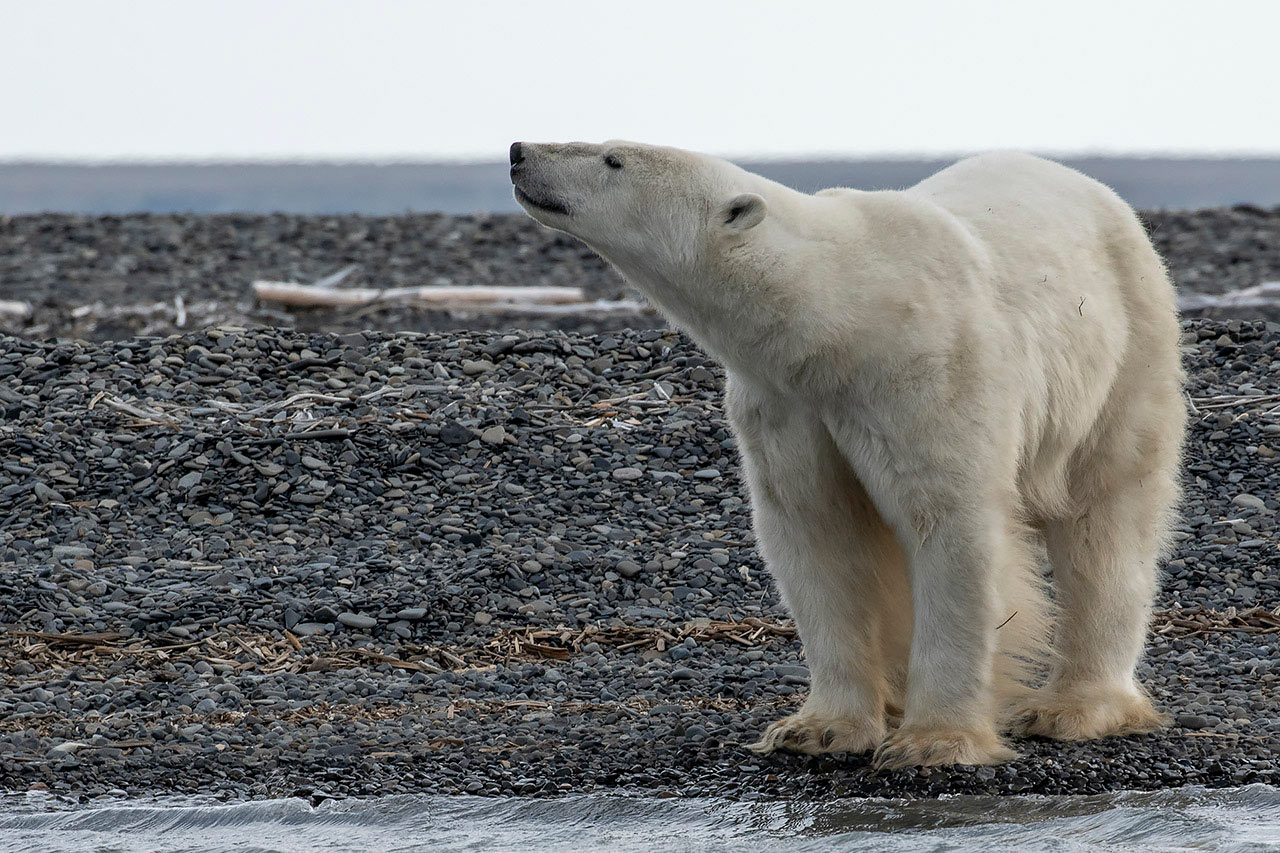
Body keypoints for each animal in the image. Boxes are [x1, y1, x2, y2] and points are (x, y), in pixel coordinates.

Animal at [512, 139, 1187, 763]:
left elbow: (951, 527)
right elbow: (816, 534)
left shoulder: (928, 374)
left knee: (1106, 519)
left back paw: (1072, 708)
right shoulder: (785, 404)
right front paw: (818, 729)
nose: (520, 151)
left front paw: (934, 741)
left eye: (612, 159)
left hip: (1124, 348)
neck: (839, 314)